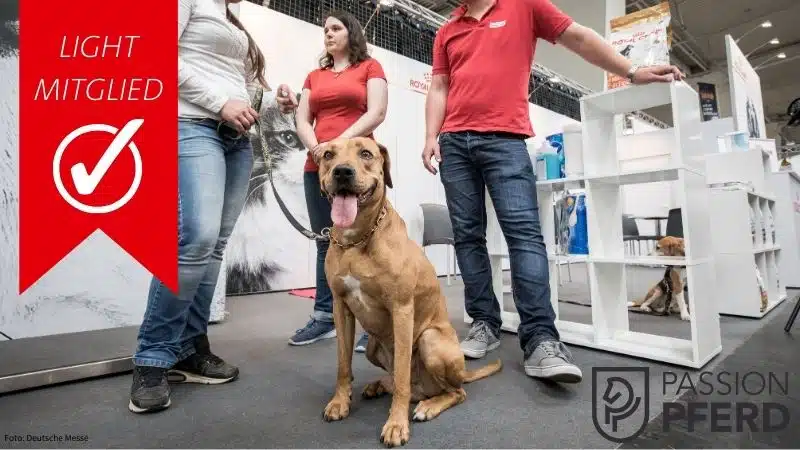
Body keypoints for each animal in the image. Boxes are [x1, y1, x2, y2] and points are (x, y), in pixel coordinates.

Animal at [318, 137, 500, 446]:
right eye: (328, 154)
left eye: (365, 153)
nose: (342, 172)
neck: (357, 240)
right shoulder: (340, 307)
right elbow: (343, 364)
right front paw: (340, 402)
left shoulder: (401, 310)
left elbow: (403, 373)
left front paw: (396, 424)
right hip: (372, 346)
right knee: (402, 382)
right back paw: (380, 385)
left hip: (430, 340)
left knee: (453, 392)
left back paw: (428, 406)